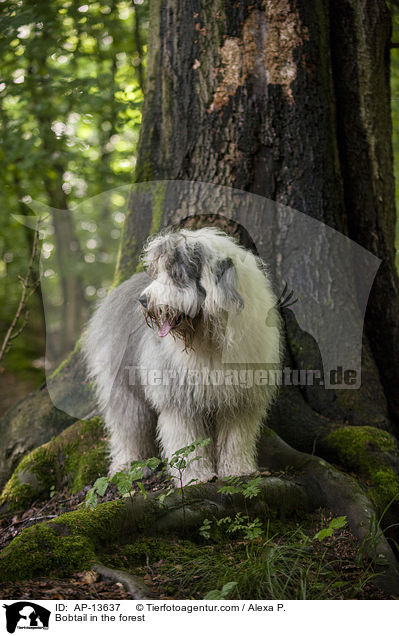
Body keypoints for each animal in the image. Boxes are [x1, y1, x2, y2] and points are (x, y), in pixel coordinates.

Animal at [84, 227, 282, 482]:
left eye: (176, 274)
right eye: (159, 272)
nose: (143, 300)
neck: (209, 339)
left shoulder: (239, 399)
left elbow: (236, 437)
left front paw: (238, 470)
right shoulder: (179, 398)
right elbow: (187, 442)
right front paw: (196, 476)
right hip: (122, 385)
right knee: (128, 426)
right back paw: (128, 465)